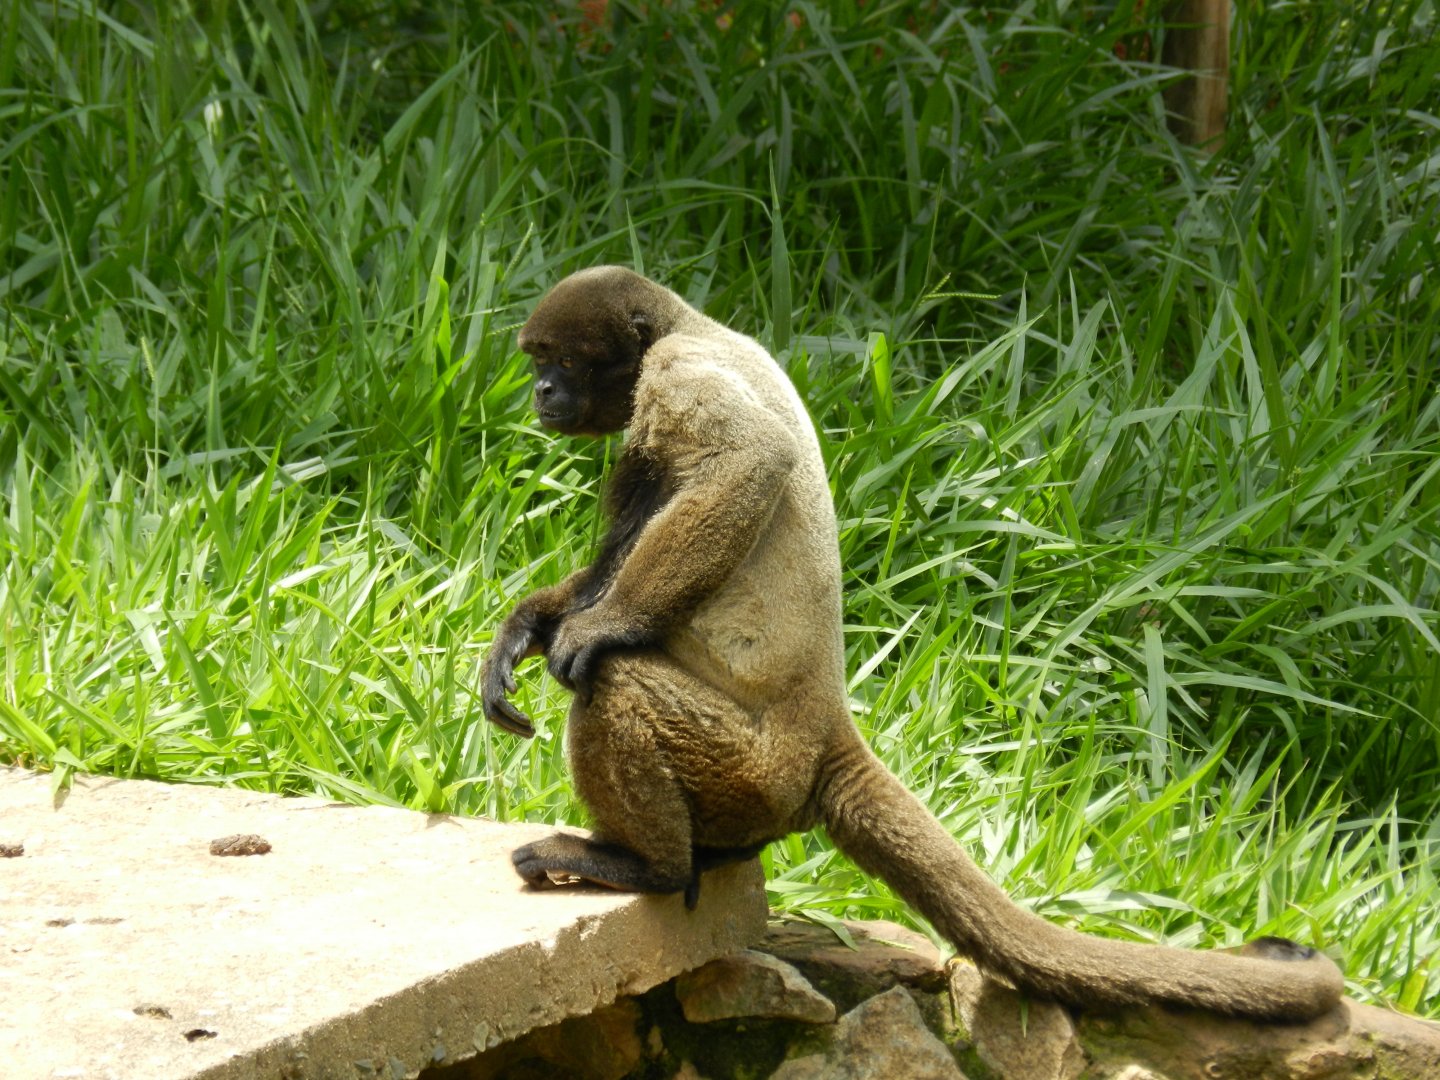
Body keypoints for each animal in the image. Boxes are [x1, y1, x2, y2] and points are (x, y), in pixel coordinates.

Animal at [480, 265, 1344, 1021]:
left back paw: (650, 867)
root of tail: (829, 729)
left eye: (563, 361)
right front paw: (522, 629)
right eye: (538, 363)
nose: (542, 391)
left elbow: (747, 464)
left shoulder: (676, 376)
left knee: (615, 682)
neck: (686, 325)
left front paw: (597, 628)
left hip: (746, 764)